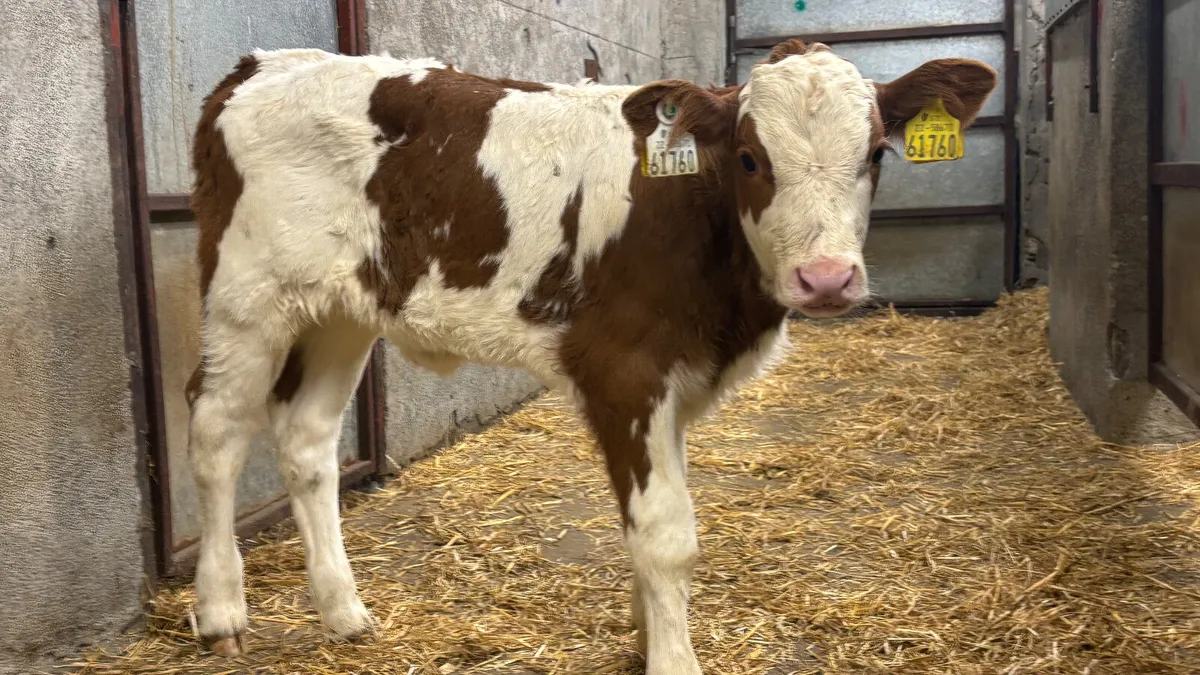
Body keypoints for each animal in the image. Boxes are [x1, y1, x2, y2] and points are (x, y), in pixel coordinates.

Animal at [185, 40, 996, 673]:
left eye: (875, 153)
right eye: (749, 158)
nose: (826, 279)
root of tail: (262, 64)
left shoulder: (675, 385)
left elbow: (650, 527)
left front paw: (646, 638)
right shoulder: (624, 370)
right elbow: (667, 535)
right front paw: (673, 659)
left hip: (342, 310)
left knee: (307, 440)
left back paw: (344, 612)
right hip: (246, 298)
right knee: (217, 429)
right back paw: (221, 610)